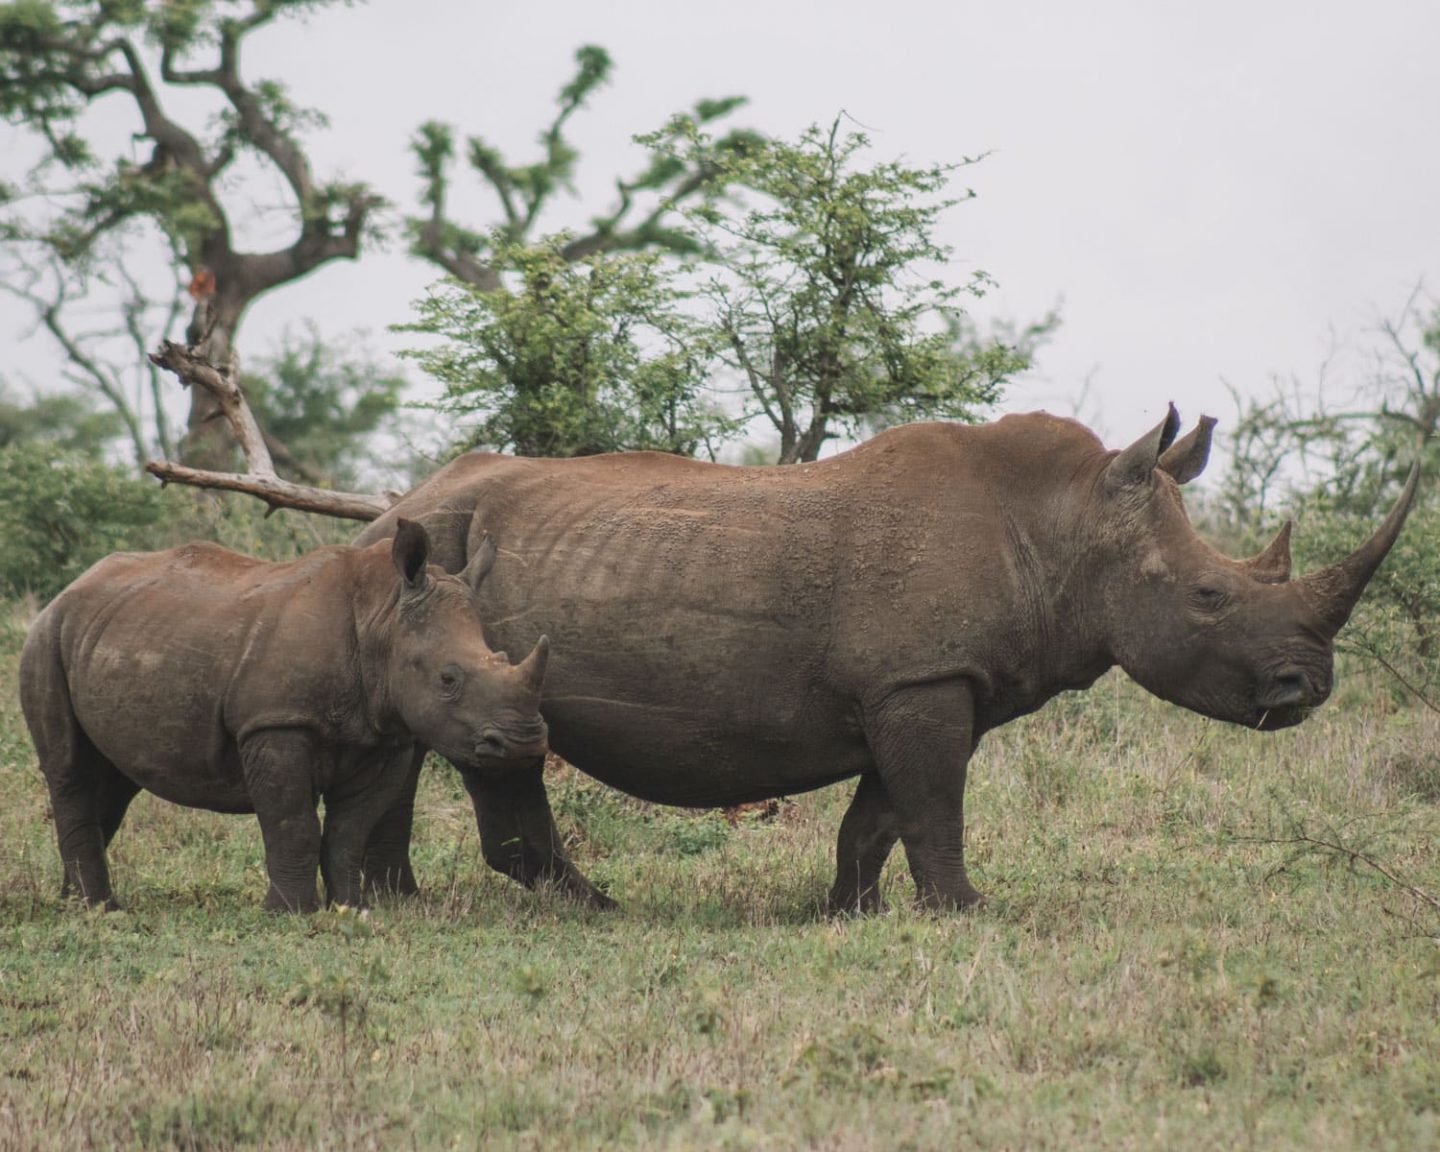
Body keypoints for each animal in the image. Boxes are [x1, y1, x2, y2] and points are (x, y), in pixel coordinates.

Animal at [22, 518, 550, 910]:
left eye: (503, 657)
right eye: (448, 679)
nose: (523, 742)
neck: (382, 616)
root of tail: (72, 587)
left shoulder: (385, 736)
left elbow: (349, 829)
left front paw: (351, 908)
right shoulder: (277, 722)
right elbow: (292, 821)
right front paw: (291, 912)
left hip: (109, 635)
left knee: (112, 778)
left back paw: (76, 901)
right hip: (45, 639)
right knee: (70, 769)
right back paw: (97, 908)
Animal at [351, 408, 1416, 915]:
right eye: (1207, 597)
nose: (1307, 688)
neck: (1064, 525)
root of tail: (395, 504)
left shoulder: (925, 681)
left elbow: (880, 814)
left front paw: (849, 913)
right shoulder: (921, 679)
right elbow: (934, 805)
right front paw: (970, 912)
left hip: (432, 568)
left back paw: (403, 902)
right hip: (440, 564)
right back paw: (595, 908)